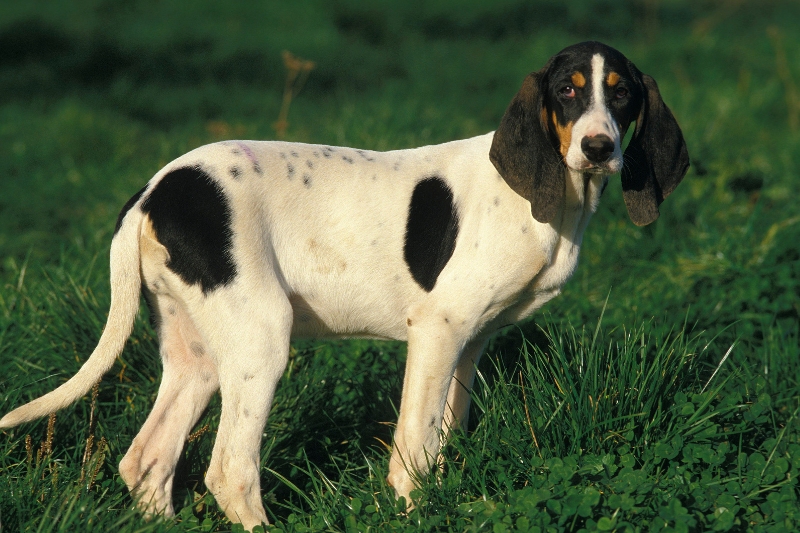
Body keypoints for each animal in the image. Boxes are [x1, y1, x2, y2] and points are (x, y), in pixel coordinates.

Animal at [0, 41, 688, 528]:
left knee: (147, 461)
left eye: (622, 95)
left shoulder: (467, 345)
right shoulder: (436, 332)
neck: (547, 200)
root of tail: (154, 190)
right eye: (567, 92)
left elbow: (443, 439)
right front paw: (412, 510)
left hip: (199, 357)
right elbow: (415, 445)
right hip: (261, 341)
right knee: (230, 470)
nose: (599, 148)